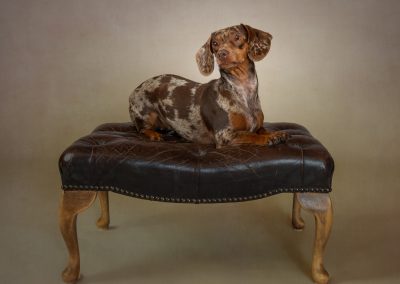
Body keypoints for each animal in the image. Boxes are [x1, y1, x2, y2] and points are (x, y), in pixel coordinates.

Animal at [130, 23, 290, 149]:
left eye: (237, 37)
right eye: (215, 43)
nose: (221, 54)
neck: (241, 90)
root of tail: (136, 88)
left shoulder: (258, 126)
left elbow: (262, 130)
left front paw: (274, 133)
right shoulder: (224, 135)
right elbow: (250, 135)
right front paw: (270, 138)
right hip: (146, 115)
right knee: (141, 129)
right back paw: (153, 134)